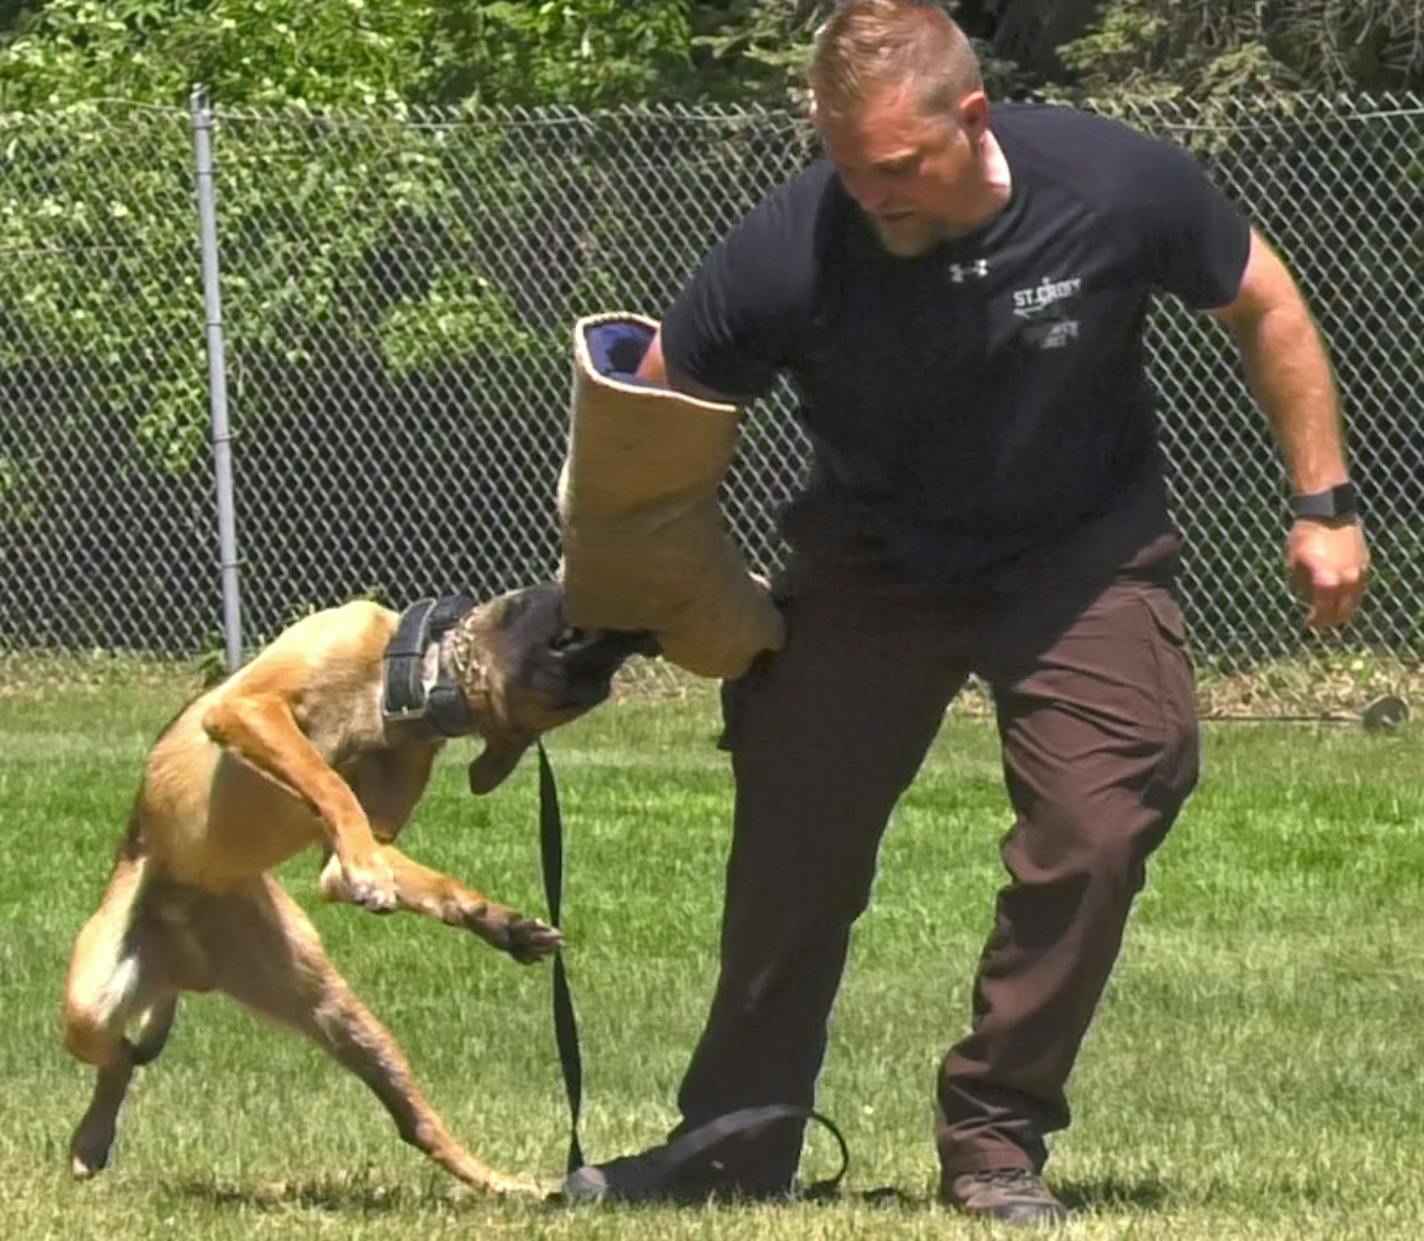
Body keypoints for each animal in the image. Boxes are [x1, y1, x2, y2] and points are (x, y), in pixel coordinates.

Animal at [61, 587, 652, 1196]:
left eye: (596, 682)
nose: (646, 633)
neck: (405, 685)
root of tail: (189, 966)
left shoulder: (365, 822)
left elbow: (401, 866)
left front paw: (500, 924)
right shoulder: (249, 706)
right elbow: (325, 777)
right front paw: (369, 869)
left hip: (330, 1007)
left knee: (417, 1124)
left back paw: (507, 1184)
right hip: (89, 1003)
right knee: (119, 1056)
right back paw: (91, 1140)